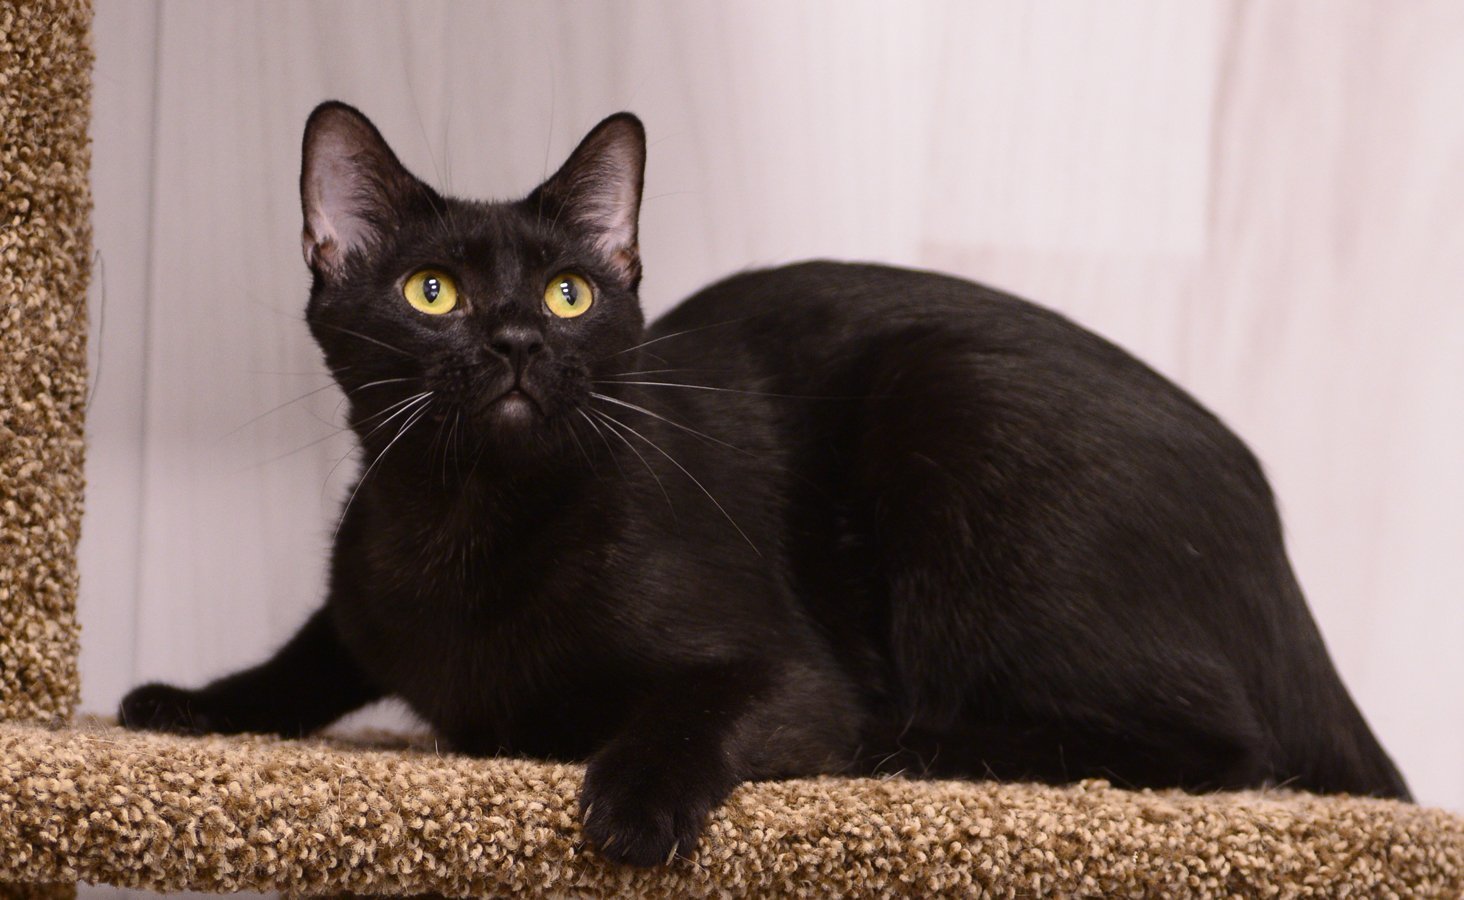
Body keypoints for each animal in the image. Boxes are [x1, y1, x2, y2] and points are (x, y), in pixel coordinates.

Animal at [120, 102, 1411, 872]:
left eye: (571, 294)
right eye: (431, 292)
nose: (517, 340)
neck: (465, 526)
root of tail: (1269, 521)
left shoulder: (787, 669)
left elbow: (699, 707)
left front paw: (634, 803)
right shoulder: (363, 595)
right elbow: (308, 654)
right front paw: (186, 702)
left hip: (955, 404)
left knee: (1227, 747)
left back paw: (915, 742)